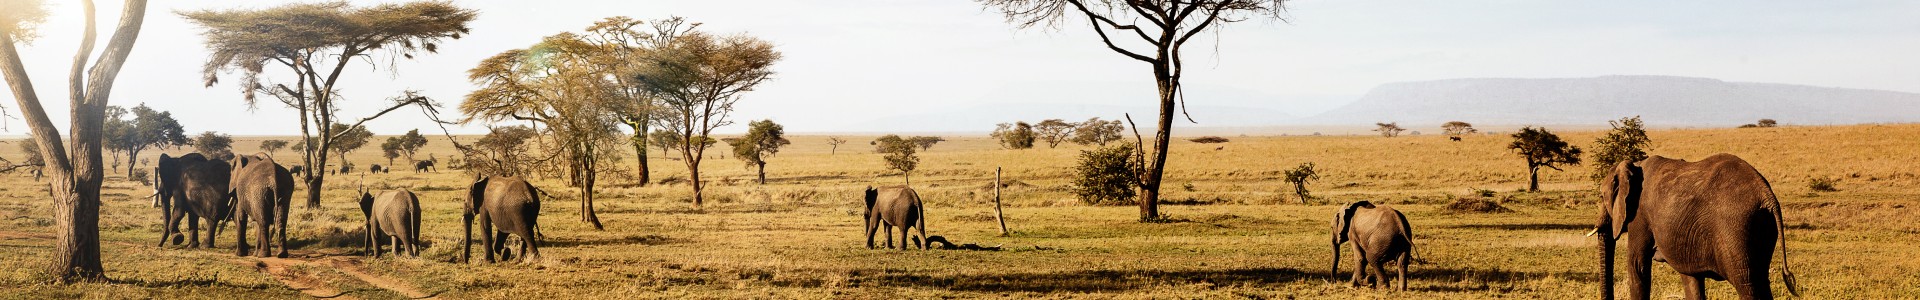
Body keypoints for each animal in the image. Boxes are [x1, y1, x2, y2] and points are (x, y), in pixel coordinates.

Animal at [1589, 154, 1797, 300]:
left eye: (1602, 196)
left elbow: (1637, 265)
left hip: (1736, 229)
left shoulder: (1640, 216)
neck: (1635, 164)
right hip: (1762, 228)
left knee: (1747, 284)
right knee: (1761, 281)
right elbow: (1690, 278)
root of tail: (1768, 196)